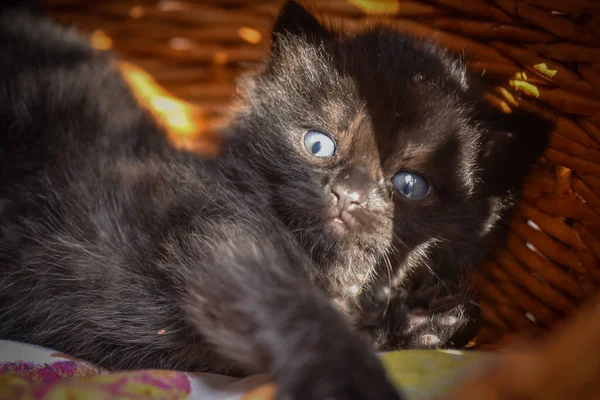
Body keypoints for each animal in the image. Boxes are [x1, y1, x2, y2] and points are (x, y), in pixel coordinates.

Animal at [0, 2, 552, 400]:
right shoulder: (222, 241)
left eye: (411, 185)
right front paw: (347, 377)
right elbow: (301, 312)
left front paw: (428, 324)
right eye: (319, 144)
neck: (336, 275)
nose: (349, 193)